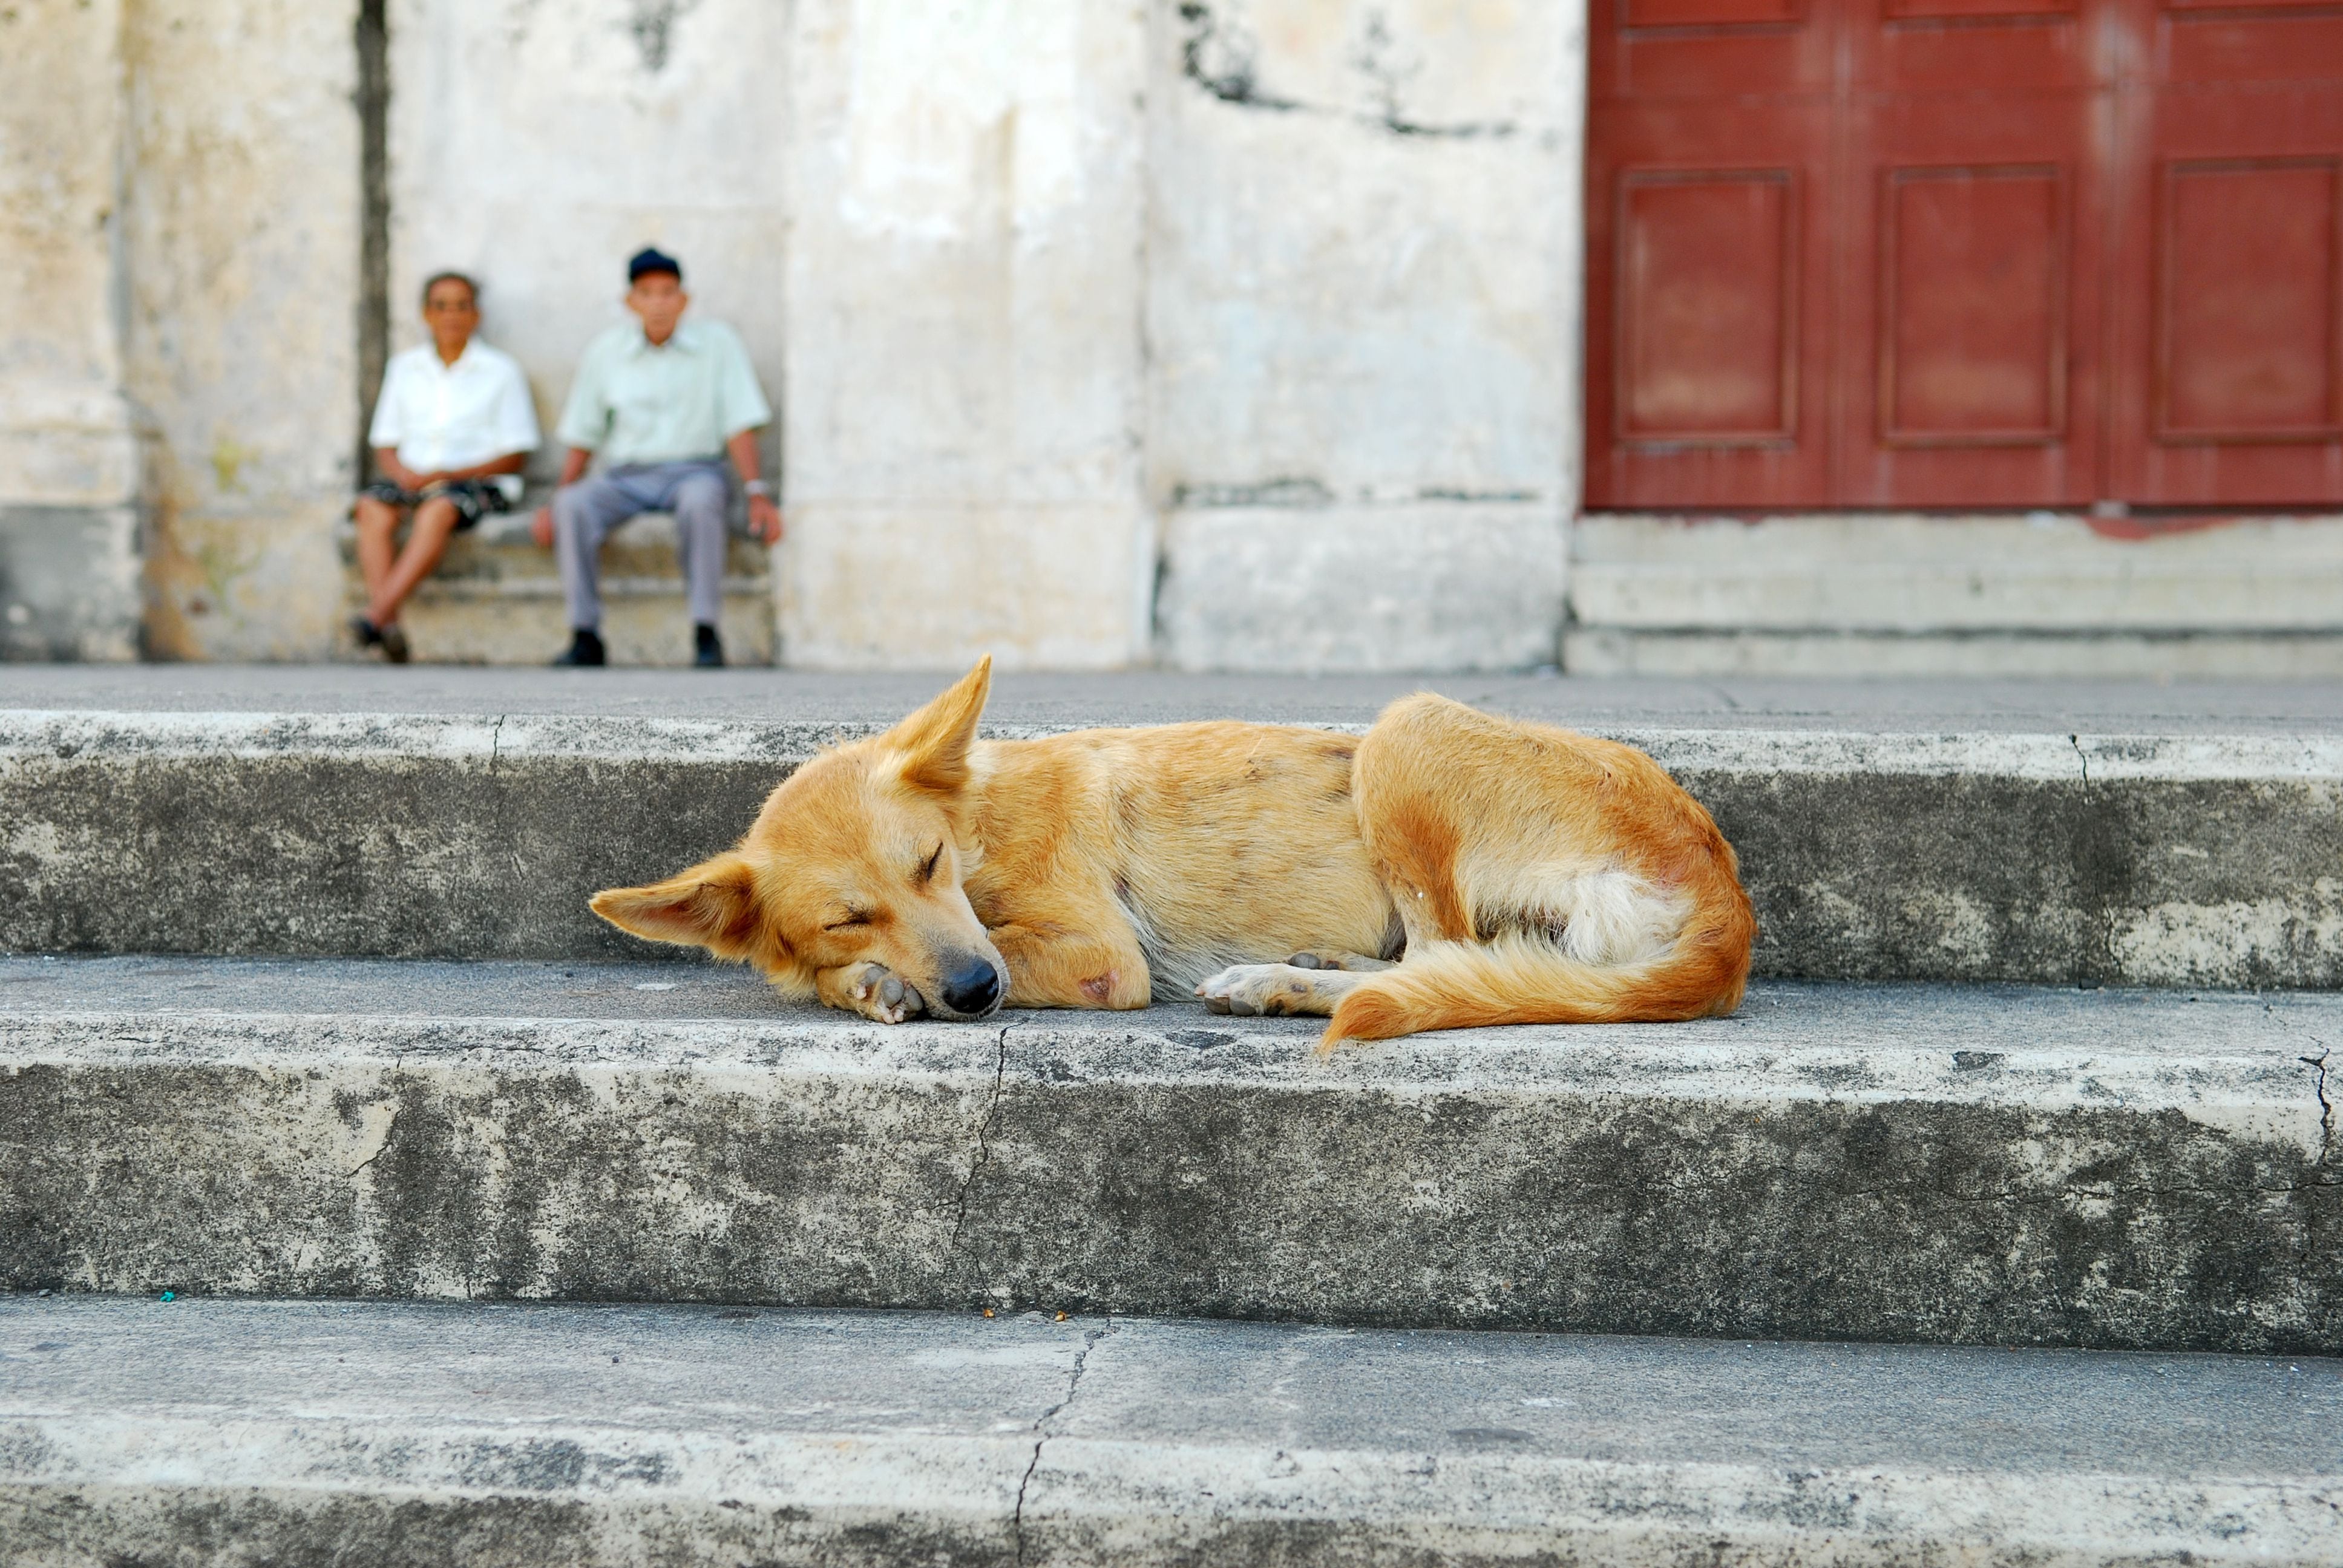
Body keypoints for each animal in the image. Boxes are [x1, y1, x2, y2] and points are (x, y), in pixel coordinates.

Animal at [595, 656, 1752, 1045]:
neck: (982, 825)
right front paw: (867, 983)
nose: (974, 992)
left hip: (1401, 727)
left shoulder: (1098, 960)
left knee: (1440, 957)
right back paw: (1316, 970)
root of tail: (1725, 895)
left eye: (926, 864)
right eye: (847, 915)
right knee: (1441, 965)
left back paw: (1281, 983)